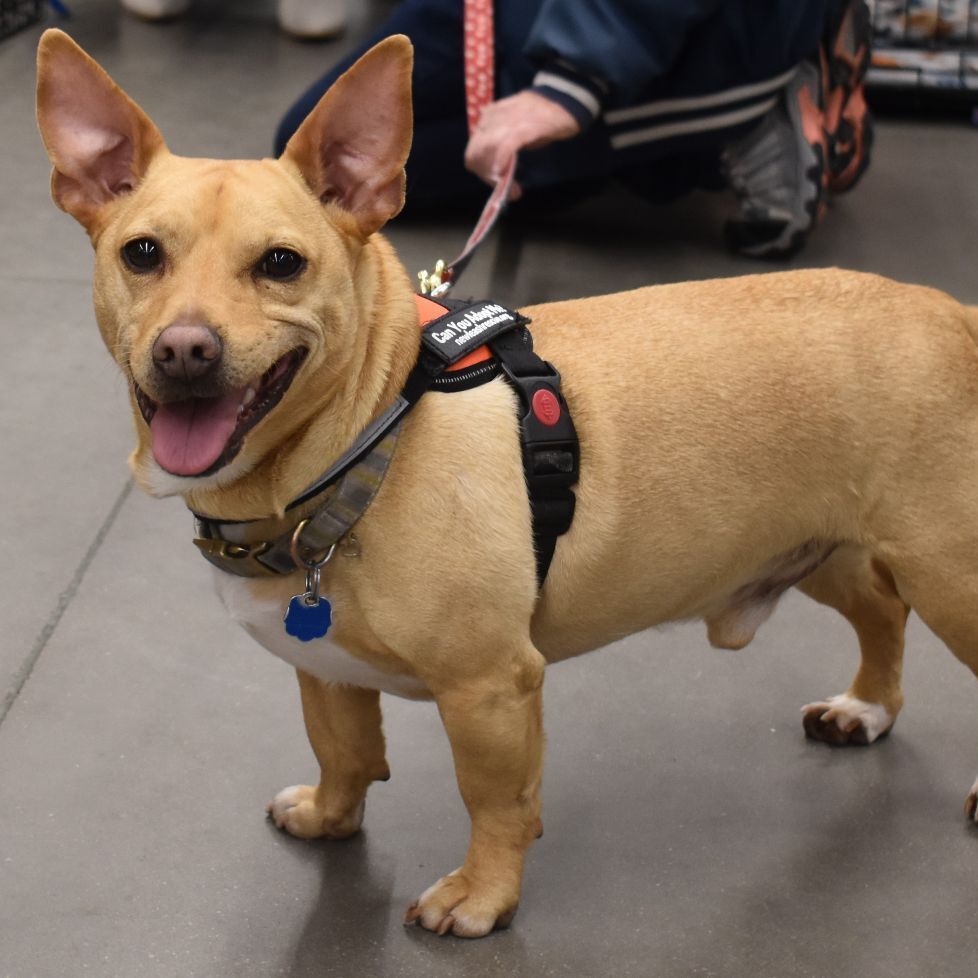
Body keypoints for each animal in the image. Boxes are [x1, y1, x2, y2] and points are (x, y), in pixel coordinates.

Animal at [34, 26, 976, 936]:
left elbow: (497, 803)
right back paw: (868, 707)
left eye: (281, 264)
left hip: (948, 577)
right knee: (882, 613)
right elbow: (343, 750)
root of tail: (952, 311)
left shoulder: (489, 688)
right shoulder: (326, 670)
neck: (374, 426)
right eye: (142, 254)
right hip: (821, 547)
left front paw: (483, 897)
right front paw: (331, 816)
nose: (185, 350)